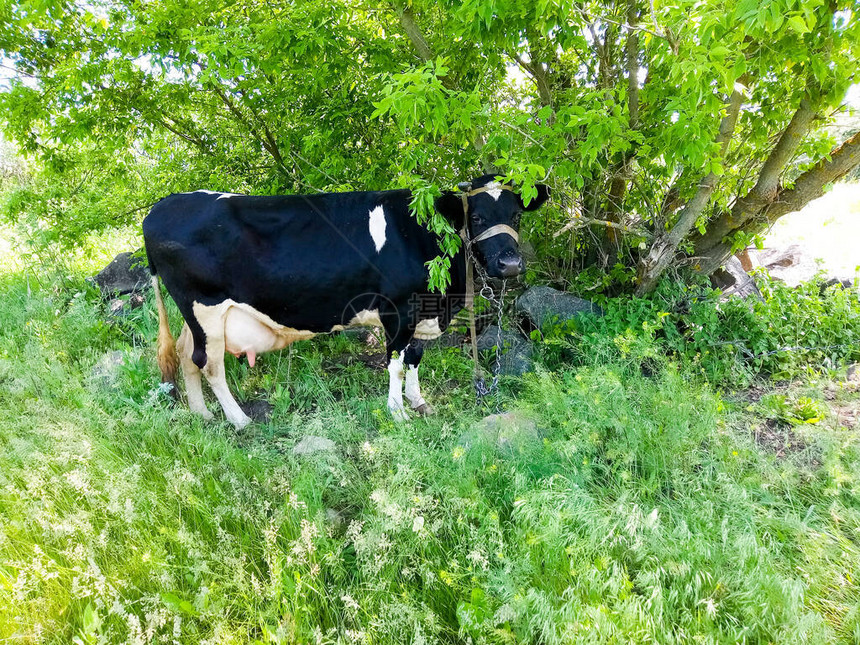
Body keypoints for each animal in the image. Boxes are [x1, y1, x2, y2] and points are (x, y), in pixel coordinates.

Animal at [140, 175, 544, 428]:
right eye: (477, 217)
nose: (510, 264)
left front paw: (418, 402)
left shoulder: (423, 312)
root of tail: (159, 208)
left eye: (516, 215)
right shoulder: (398, 310)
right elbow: (396, 364)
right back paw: (239, 421)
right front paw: (398, 412)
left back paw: (202, 415)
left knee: (186, 354)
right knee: (209, 364)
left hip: (198, 317)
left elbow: (415, 358)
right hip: (205, 308)